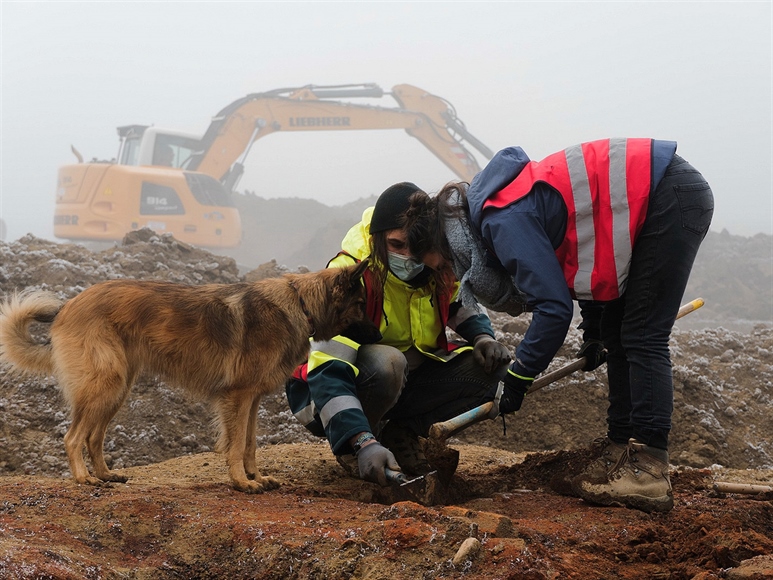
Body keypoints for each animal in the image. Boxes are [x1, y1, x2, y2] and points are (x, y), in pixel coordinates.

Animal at [0, 260, 374, 492]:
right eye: (361, 304)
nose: (381, 335)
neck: (299, 304)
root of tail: (68, 306)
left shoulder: (252, 399)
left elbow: (250, 442)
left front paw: (256, 475)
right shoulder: (238, 396)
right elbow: (236, 445)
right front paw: (241, 482)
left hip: (117, 390)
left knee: (93, 437)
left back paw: (106, 475)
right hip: (104, 385)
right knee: (73, 437)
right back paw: (83, 479)